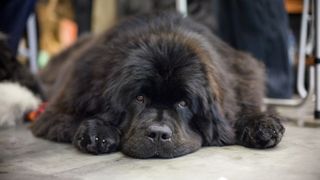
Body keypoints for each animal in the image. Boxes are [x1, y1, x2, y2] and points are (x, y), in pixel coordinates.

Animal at [30, 12, 284, 158]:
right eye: (139, 98)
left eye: (183, 103)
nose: (158, 134)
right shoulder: (64, 105)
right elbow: (72, 118)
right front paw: (98, 132)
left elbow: (240, 111)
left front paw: (262, 125)